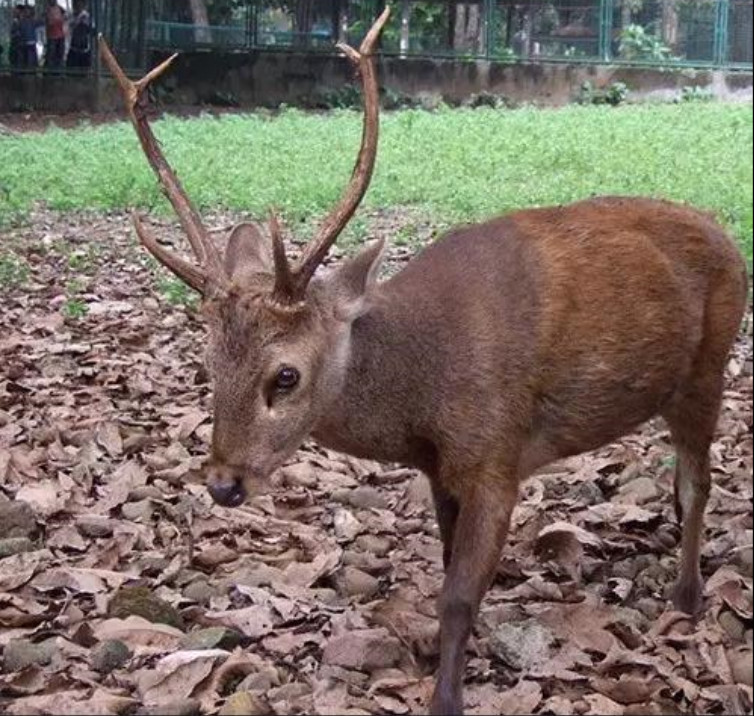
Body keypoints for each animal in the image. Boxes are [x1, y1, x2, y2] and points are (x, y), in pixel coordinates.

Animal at [100, 9, 748, 716]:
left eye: (286, 375)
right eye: (208, 364)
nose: (222, 483)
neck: (425, 397)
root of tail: (727, 238)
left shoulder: (497, 454)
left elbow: (458, 594)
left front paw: (448, 695)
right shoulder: (441, 470)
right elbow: (444, 564)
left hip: (710, 364)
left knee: (698, 481)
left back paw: (687, 596)